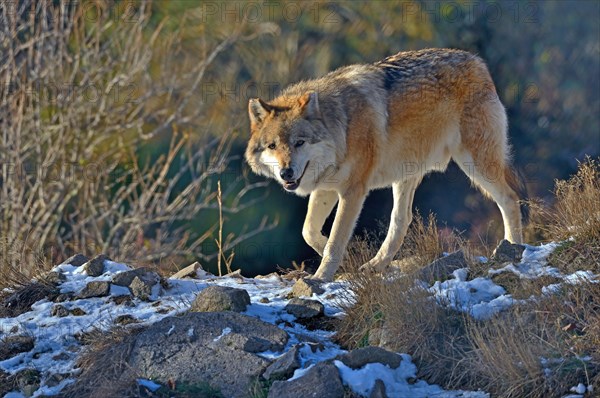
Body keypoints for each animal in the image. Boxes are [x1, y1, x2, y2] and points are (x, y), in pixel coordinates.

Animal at [246, 48, 528, 282]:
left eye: (299, 142)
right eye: (272, 146)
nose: (286, 173)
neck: (342, 124)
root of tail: (477, 61)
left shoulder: (353, 191)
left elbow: (336, 238)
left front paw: (321, 277)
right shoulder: (326, 187)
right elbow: (309, 231)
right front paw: (348, 258)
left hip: (476, 164)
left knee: (510, 198)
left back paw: (513, 248)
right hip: (407, 174)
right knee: (402, 220)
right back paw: (376, 265)